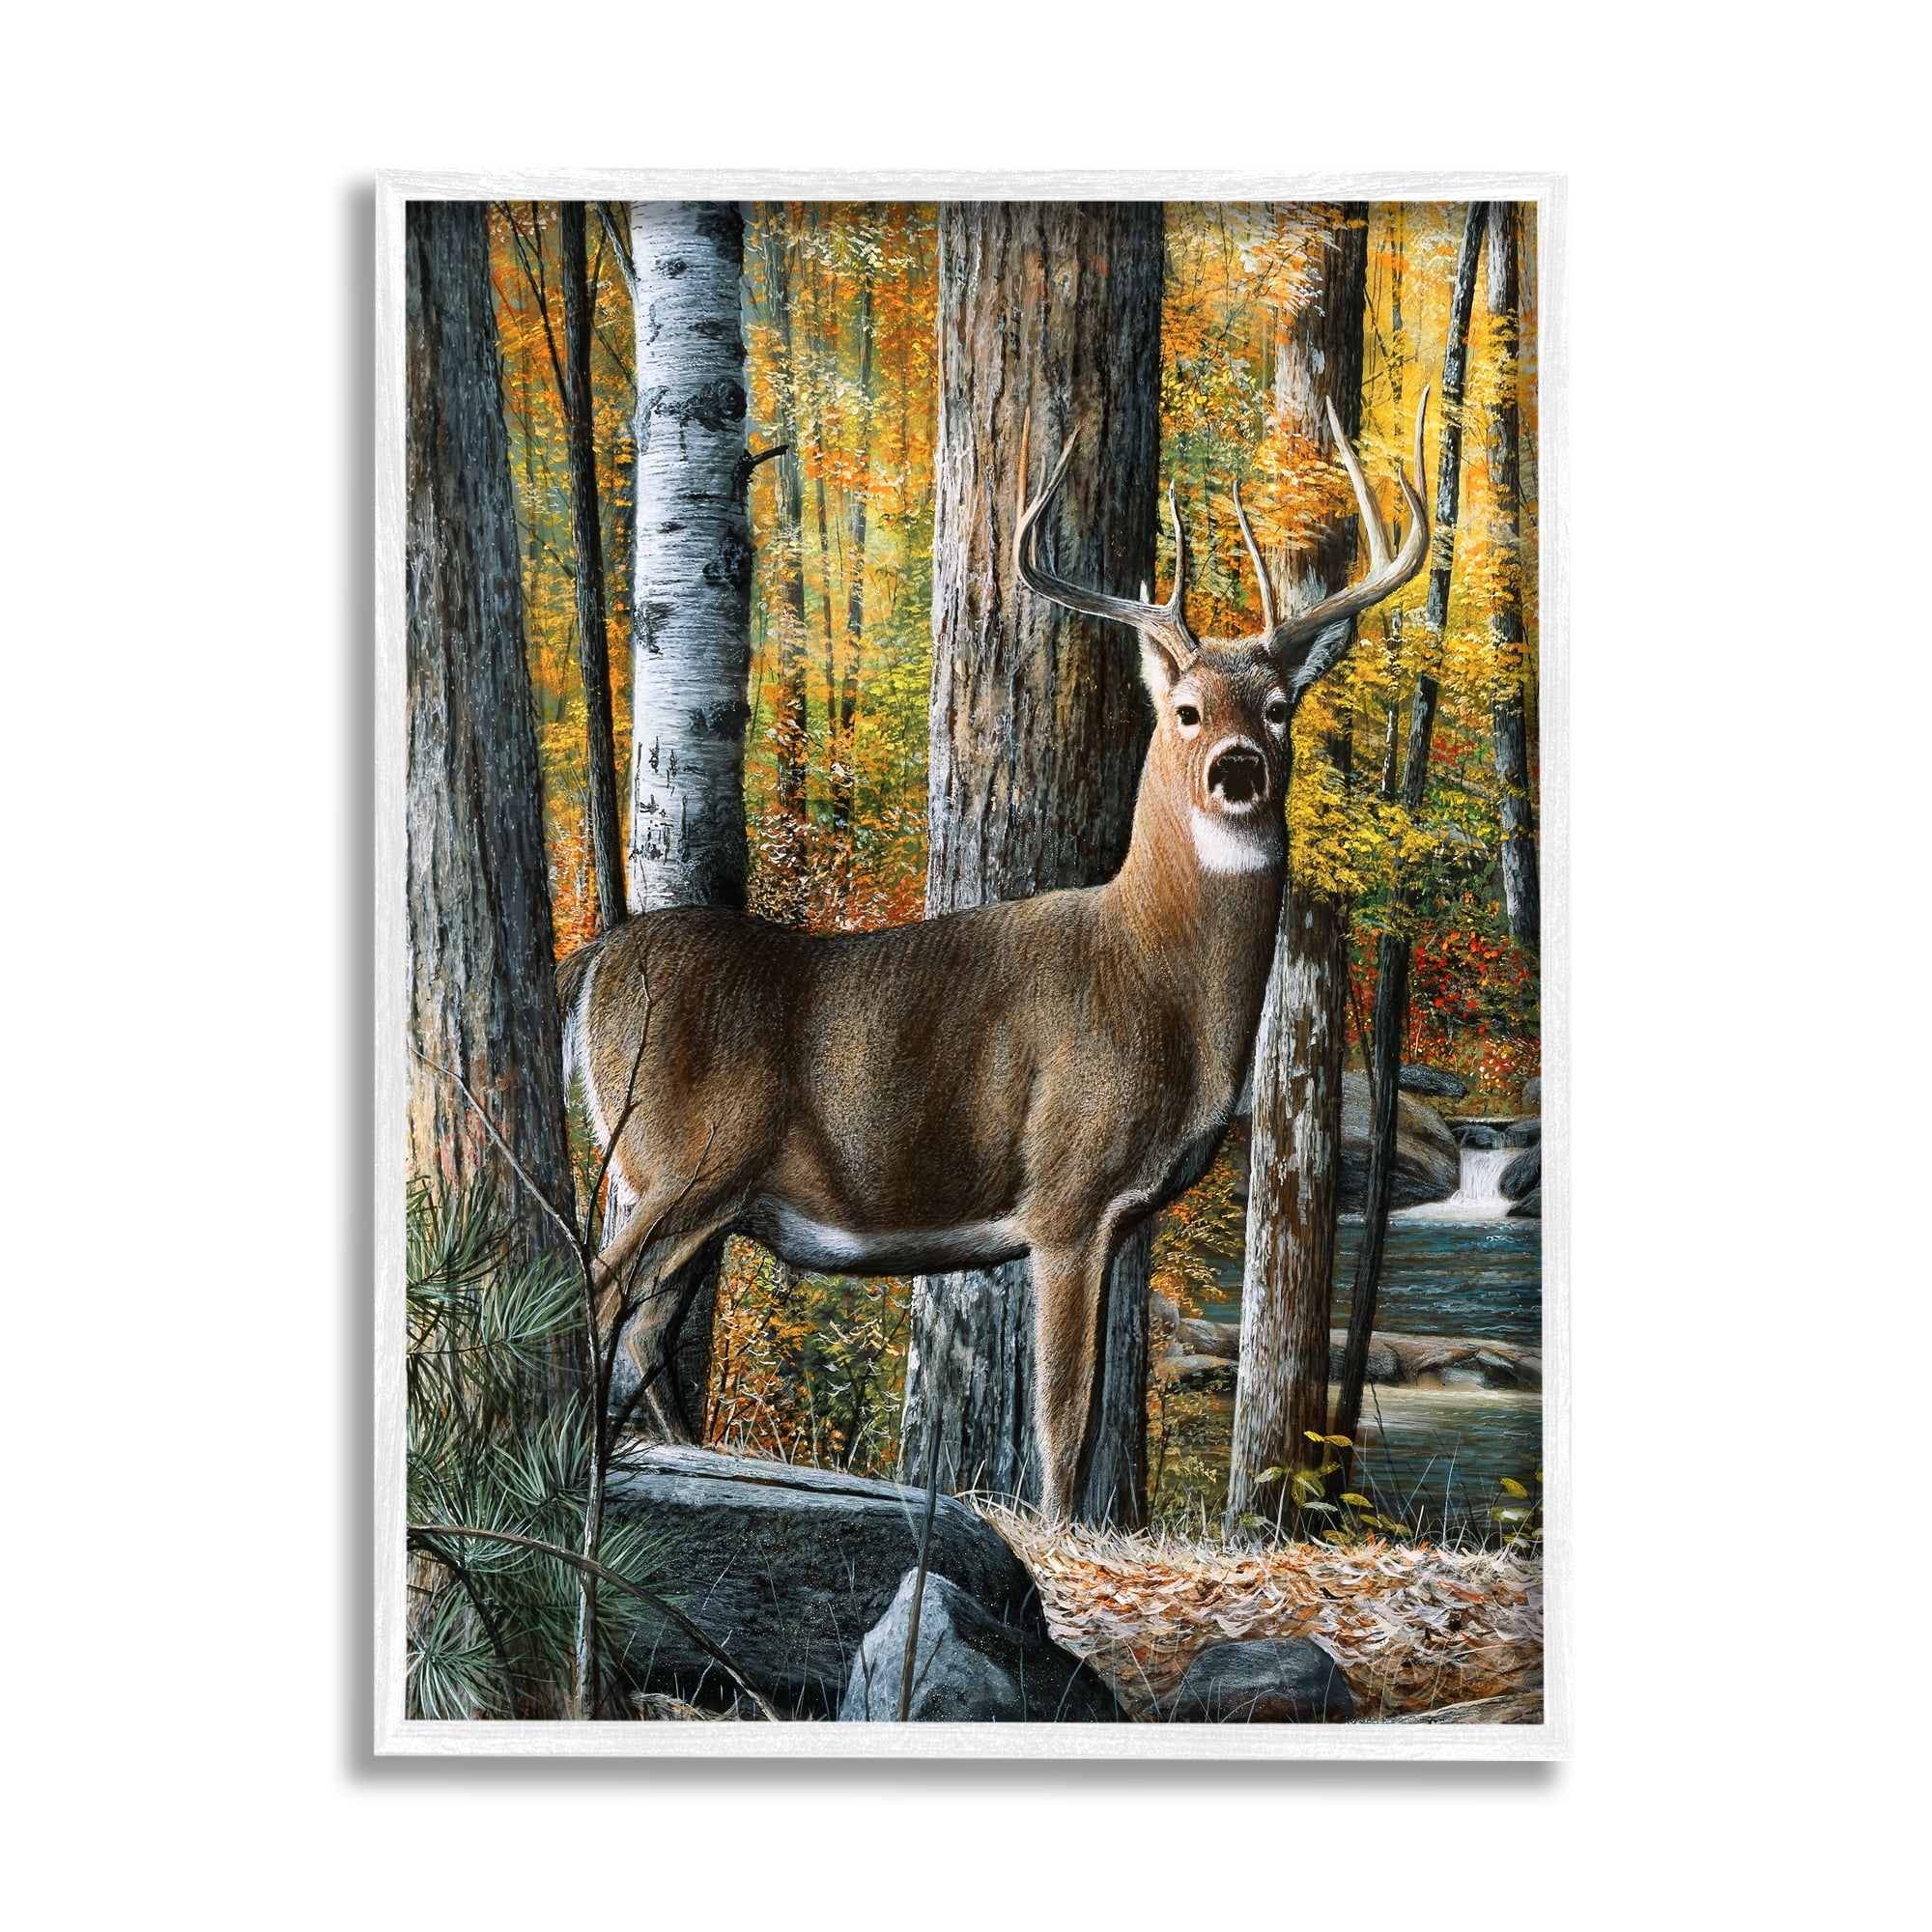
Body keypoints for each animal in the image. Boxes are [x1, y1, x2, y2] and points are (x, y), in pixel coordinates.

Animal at [561, 391, 1431, 1523]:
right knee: (594, 1295)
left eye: (1280, 709)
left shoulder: (1116, 1215)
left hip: (675, 1188)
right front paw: (1058, 1533)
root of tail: (591, 967)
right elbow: (1063, 1416)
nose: (1237, 768)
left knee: (633, 1332)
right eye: (1186, 710)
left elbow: (1087, 1410)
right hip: (679, 1160)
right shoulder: (1066, 1189)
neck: (1155, 978)